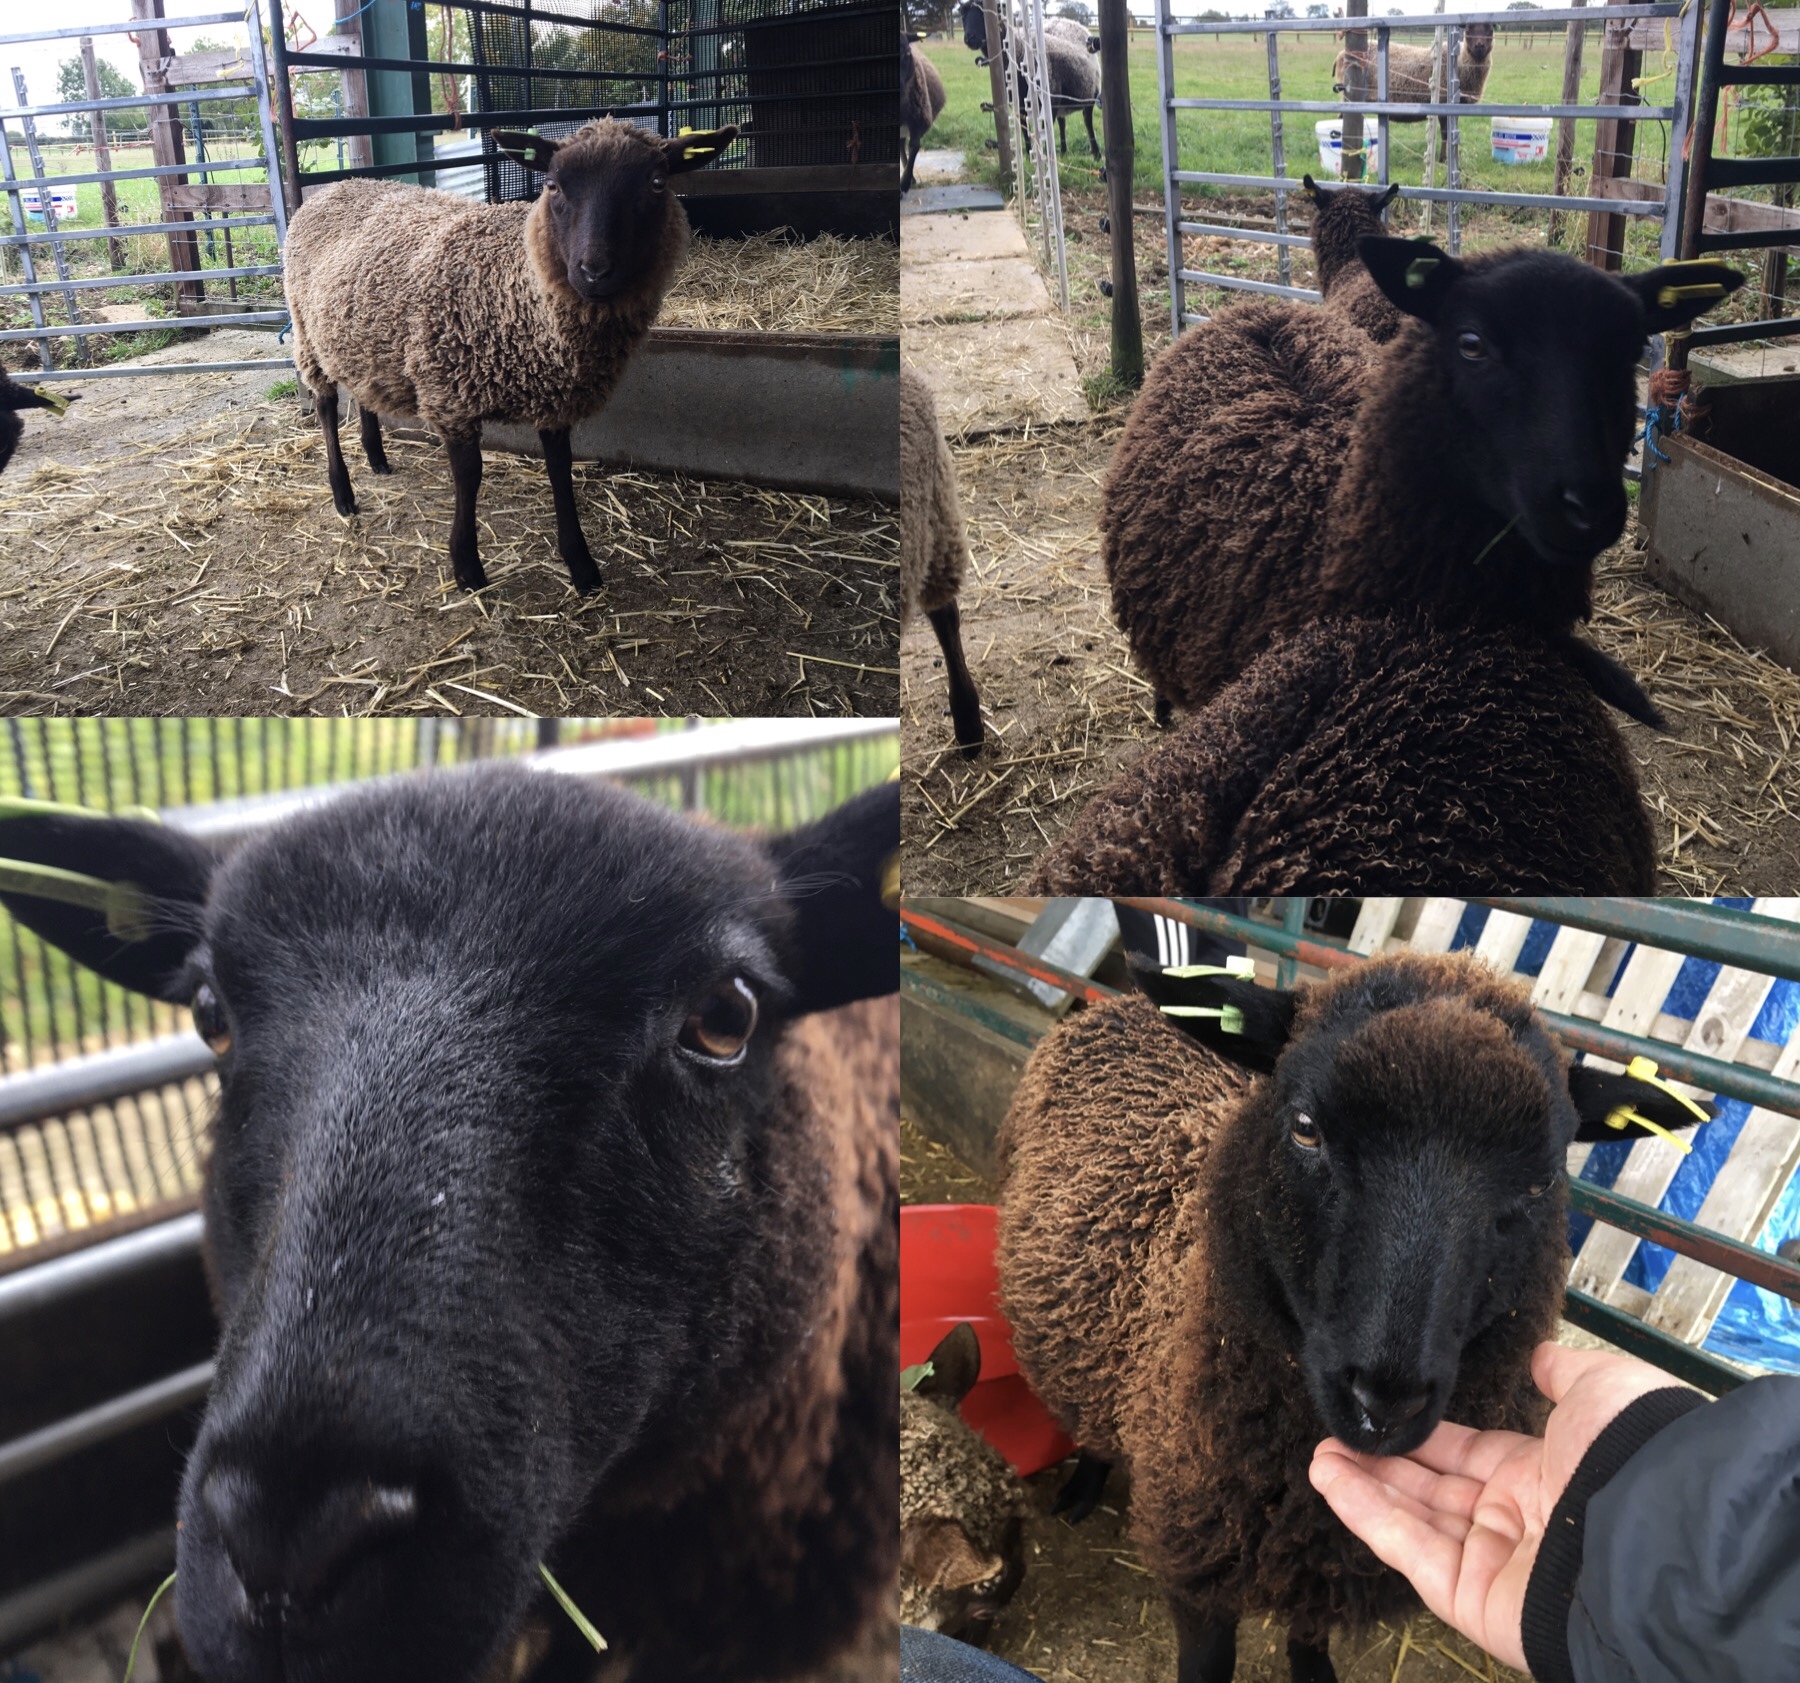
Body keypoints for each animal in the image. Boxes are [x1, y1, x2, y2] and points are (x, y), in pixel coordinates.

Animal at [283, 119, 736, 595]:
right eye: (552, 184)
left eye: (656, 183)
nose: (594, 272)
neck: (517, 290)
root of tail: (338, 185)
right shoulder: (450, 393)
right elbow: (469, 476)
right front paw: (467, 567)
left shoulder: (555, 398)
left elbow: (560, 471)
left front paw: (582, 566)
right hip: (305, 331)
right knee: (326, 405)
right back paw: (343, 494)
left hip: (358, 339)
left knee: (362, 390)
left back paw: (377, 458)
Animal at [959, 4, 1100, 157]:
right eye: (963, 16)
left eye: (983, 14)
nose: (969, 38)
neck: (1019, 51)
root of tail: (1067, 20)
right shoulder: (1020, 105)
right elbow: (1025, 131)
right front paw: (1027, 153)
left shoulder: (1048, 102)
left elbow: (1044, 134)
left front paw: (1044, 155)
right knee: (1062, 122)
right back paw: (1063, 150)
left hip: (1090, 93)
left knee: (1087, 120)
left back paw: (1096, 153)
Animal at [997, 951, 1713, 1683]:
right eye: (1305, 1126)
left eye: (1543, 1181)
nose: (1386, 1401)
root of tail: (1126, 1003)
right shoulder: (1195, 1562)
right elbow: (1209, 1661)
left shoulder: (1327, 1570)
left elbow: (1310, 1636)